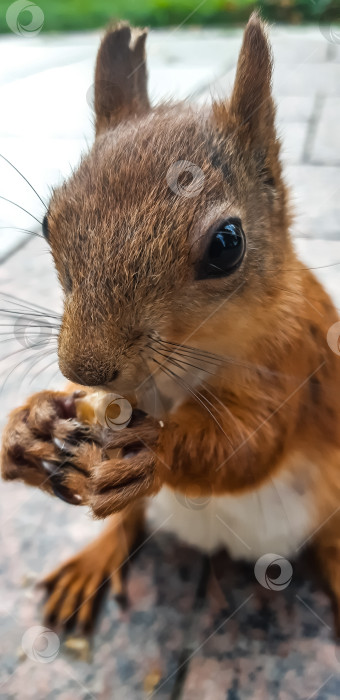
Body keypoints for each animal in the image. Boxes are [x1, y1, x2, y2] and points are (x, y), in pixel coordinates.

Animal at [0, 12, 340, 636]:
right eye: (48, 221)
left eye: (227, 245)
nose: (85, 365)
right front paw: (30, 420)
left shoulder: (295, 357)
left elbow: (251, 444)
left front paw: (155, 451)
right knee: (128, 521)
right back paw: (96, 556)